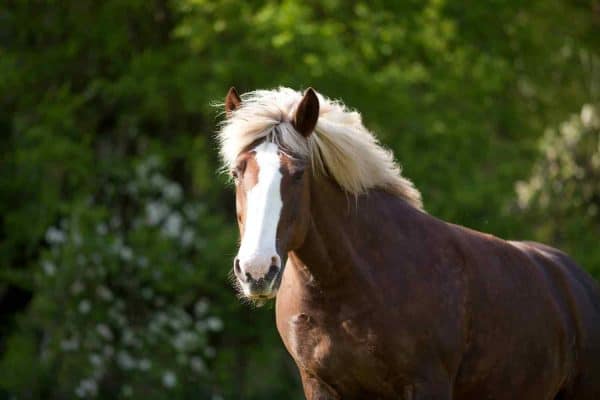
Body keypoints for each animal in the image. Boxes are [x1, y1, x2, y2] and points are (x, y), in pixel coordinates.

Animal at [216, 86, 600, 398]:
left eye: (297, 174)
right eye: (237, 171)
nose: (256, 271)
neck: (351, 284)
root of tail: (575, 281)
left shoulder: (426, 384)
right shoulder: (320, 385)